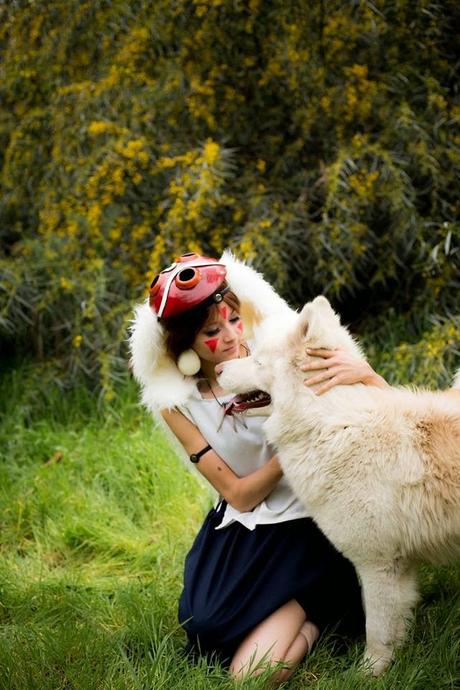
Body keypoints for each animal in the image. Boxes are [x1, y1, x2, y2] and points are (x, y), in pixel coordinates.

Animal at [218, 296, 460, 672]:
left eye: (256, 360)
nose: (216, 370)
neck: (330, 422)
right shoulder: (398, 567)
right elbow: (395, 628)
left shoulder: (379, 565)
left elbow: (377, 631)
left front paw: (369, 674)